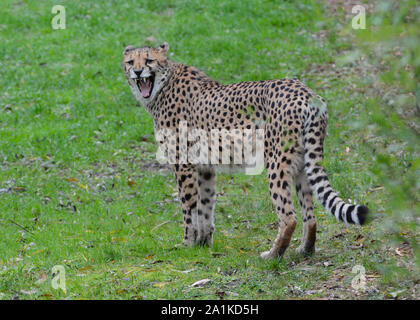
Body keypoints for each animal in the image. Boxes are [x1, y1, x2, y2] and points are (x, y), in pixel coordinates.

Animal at [122, 42, 370, 258]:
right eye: (130, 61)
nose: (137, 71)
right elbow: (205, 206)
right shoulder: (205, 168)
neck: (161, 86)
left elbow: (188, 208)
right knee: (310, 215)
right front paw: (203, 244)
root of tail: (306, 92)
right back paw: (305, 250)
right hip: (303, 163)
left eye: (149, 60)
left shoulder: (183, 164)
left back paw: (272, 255)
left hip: (276, 161)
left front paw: (187, 244)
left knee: (288, 216)